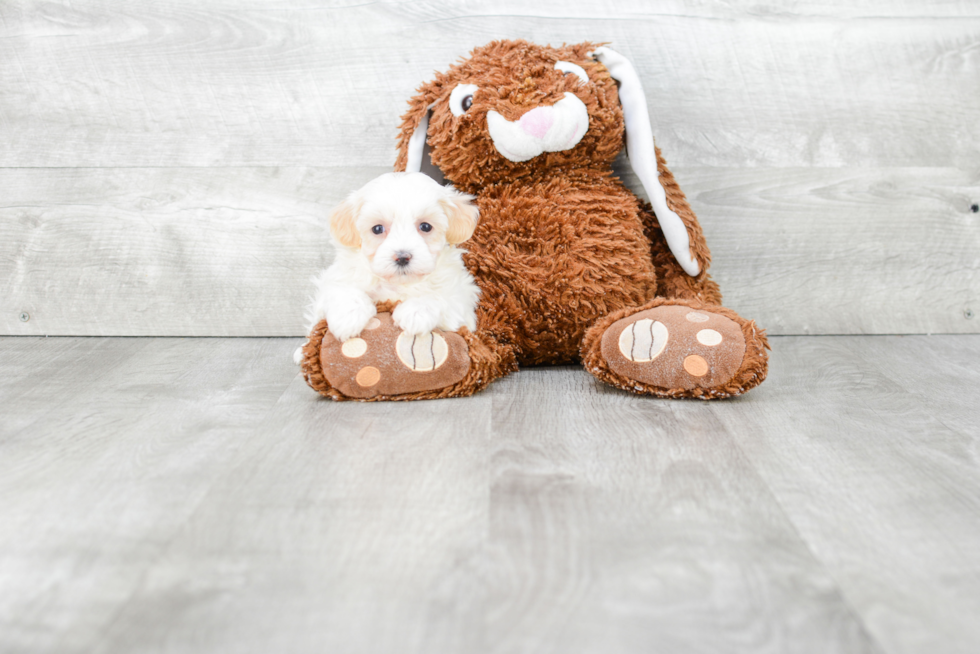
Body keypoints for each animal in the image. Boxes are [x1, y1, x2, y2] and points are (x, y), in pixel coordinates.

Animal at [300, 172, 480, 352]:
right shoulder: (336, 279)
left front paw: (415, 313)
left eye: (426, 227)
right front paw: (348, 316)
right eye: (377, 229)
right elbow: (342, 290)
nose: (402, 257)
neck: (398, 284)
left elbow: (440, 297)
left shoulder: (461, 299)